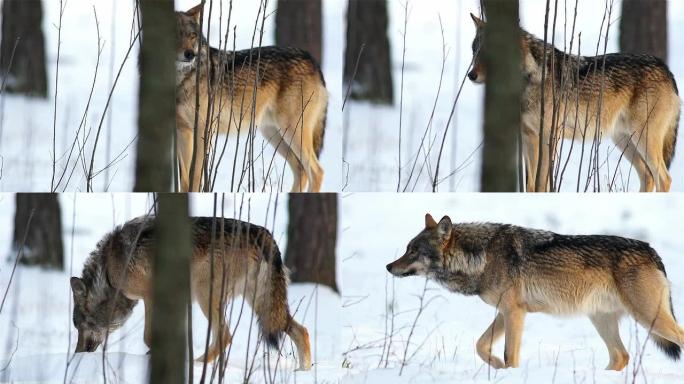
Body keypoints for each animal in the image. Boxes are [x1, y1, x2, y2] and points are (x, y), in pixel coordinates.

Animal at [68, 216, 314, 368]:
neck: (109, 269)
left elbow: (148, 336)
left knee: (225, 336)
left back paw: (197, 365)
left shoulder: (151, 295)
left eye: (79, 326)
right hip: (261, 305)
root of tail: (263, 234)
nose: (77, 354)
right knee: (301, 331)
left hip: (206, 294)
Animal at [175, 3, 328, 192]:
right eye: (177, 34)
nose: (190, 55)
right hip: (274, 134)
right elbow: (184, 181)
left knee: (316, 171)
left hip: (292, 132)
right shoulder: (182, 131)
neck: (182, 78)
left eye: (192, 36)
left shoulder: (202, 132)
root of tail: (311, 59)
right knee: (301, 170)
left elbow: (194, 178)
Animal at [384, 214, 684, 370]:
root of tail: (652, 251)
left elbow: (510, 354)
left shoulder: (514, 312)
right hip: (602, 320)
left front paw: (507, 370)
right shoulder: (506, 312)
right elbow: (481, 345)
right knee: (621, 356)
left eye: (413, 251)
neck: (481, 257)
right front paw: (496, 366)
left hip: (649, 318)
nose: (388, 266)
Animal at [468, 13, 680, 194]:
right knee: (648, 176)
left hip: (643, 140)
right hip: (624, 141)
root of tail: (667, 69)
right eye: (474, 50)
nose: (470, 75)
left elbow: (542, 184)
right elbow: (531, 186)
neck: (532, 77)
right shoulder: (529, 138)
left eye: (491, 51)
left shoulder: (549, 137)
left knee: (664, 178)